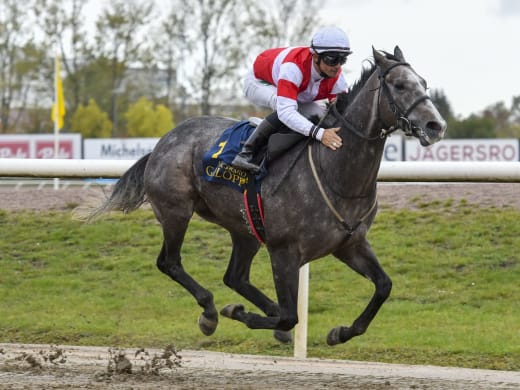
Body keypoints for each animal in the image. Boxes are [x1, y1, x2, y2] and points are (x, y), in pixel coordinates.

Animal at [88, 47, 446, 346]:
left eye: (424, 82)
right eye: (399, 85)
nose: (436, 125)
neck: (338, 173)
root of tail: (162, 142)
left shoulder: (350, 244)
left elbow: (383, 286)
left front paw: (340, 332)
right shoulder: (284, 252)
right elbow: (290, 316)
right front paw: (239, 313)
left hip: (244, 228)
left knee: (235, 277)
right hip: (176, 211)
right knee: (170, 262)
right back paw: (211, 313)